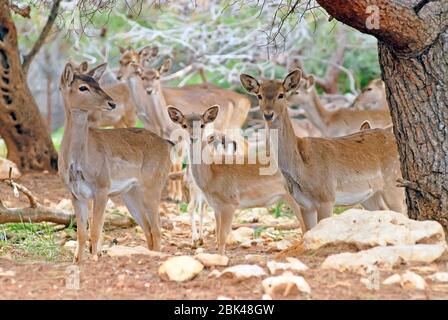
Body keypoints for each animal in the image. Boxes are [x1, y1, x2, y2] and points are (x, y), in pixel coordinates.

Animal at [58, 62, 173, 262]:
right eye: (83, 87)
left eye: (98, 83)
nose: (111, 103)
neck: (76, 161)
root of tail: (167, 144)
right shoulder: (75, 194)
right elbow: (81, 234)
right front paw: (78, 261)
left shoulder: (102, 188)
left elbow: (95, 231)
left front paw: (94, 260)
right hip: (130, 194)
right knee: (148, 228)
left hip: (152, 186)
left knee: (157, 226)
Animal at [166, 105, 306, 255]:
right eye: (184, 125)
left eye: (202, 124)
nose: (193, 138)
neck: (211, 176)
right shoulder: (216, 207)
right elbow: (217, 235)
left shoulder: (230, 203)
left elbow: (222, 237)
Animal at [242, 69, 406, 229]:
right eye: (259, 95)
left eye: (281, 94)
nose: (268, 114)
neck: (301, 168)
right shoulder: (305, 205)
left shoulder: (327, 198)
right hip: (370, 195)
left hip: (394, 183)